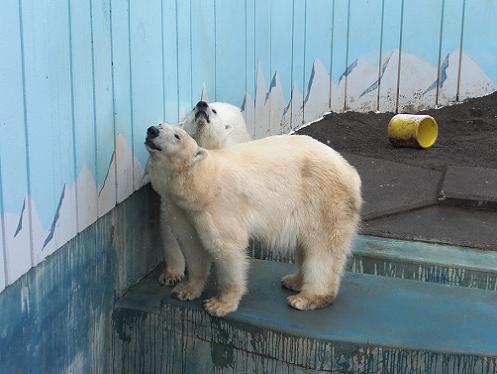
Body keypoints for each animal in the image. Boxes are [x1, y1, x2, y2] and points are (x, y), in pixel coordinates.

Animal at [143, 125, 360, 316]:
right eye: (160, 123)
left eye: (177, 136)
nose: (152, 130)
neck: (201, 183)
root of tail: (350, 171)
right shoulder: (182, 211)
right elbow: (192, 246)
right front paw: (185, 290)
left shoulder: (217, 207)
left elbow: (227, 248)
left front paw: (219, 305)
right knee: (305, 245)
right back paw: (293, 281)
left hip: (323, 199)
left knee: (322, 247)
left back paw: (308, 298)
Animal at [145, 101, 250, 284]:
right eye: (194, 108)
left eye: (213, 111)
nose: (202, 104)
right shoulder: (170, 193)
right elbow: (170, 225)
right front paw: (171, 275)